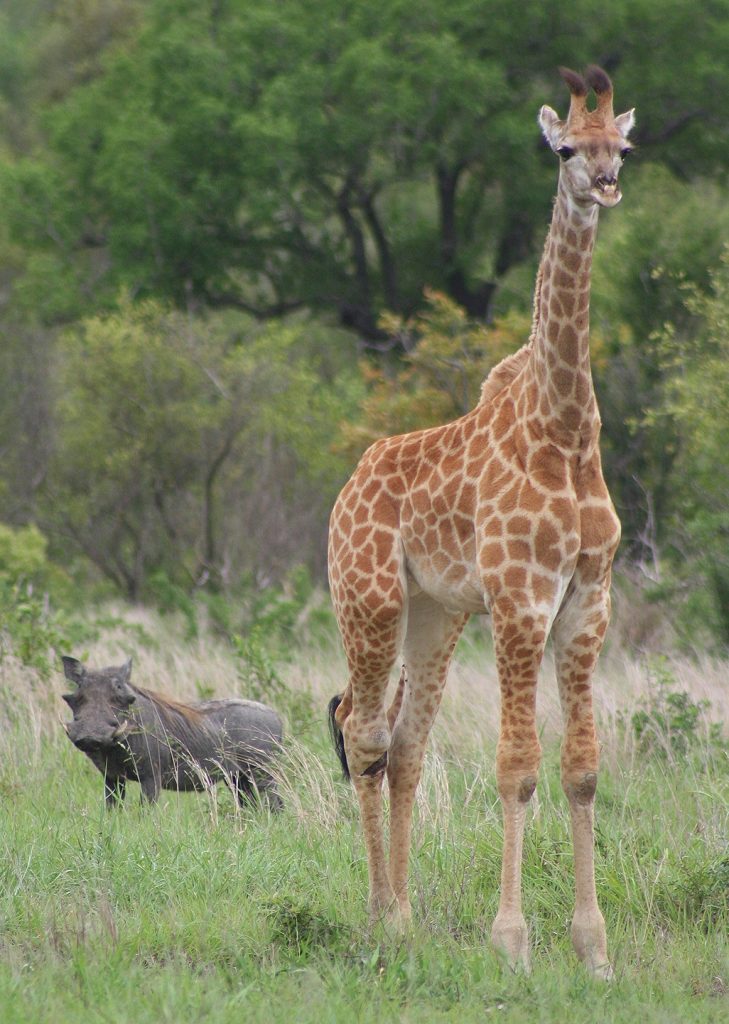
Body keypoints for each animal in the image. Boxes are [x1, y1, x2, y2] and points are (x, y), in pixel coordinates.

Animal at [327, 65, 634, 977]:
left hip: (436, 612)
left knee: (405, 744)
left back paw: (403, 918)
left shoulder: (586, 603)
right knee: (362, 731)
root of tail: (348, 484)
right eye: (565, 149)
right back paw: (380, 919)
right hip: (370, 600)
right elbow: (516, 767)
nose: (603, 182)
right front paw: (512, 942)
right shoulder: (520, 599)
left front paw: (593, 948)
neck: (562, 430)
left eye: (622, 144)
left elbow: (580, 770)